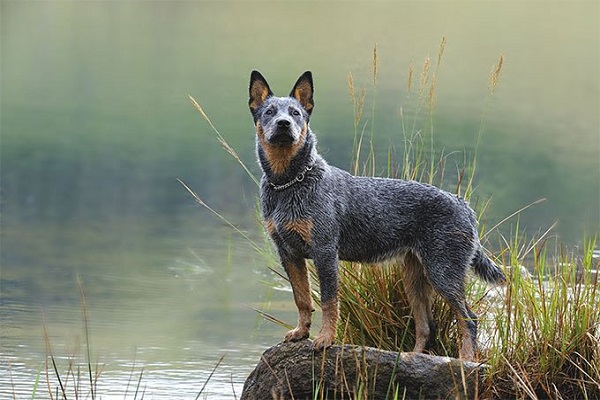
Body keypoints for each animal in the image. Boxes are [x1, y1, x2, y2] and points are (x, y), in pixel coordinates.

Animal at [248, 70, 506, 360]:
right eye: (269, 112)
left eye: (296, 113)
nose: (283, 124)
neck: (289, 184)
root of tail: (464, 205)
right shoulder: (288, 253)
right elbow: (302, 298)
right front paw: (301, 332)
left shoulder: (324, 251)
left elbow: (328, 301)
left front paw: (325, 338)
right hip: (414, 278)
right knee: (426, 325)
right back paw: (411, 357)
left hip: (443, 272)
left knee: (468, 318)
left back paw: (466, 361)